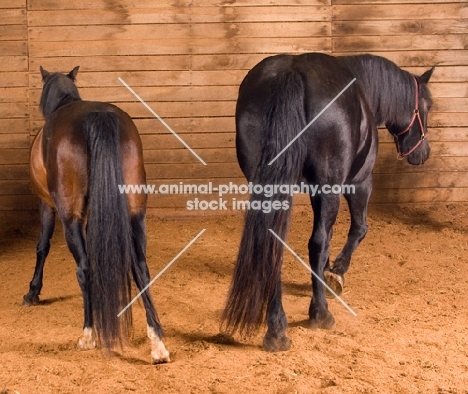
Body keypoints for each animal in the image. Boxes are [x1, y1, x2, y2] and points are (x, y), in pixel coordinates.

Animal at [23, 67, 170, 364]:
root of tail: (98, 117)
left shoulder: (47, 205)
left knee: (85, 268)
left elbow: (42, 246)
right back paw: (157, 343)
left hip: (70, 218)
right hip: (135, 214)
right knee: (141, 268)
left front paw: (33, 291)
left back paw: (88, 334)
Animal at [221, 52, 434, 350]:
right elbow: (357, 229)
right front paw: (336, 274)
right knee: (317, 242)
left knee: (274, 243)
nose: (422, 153)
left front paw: (324, 273)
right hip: (331, 185)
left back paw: (276, 328)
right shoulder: (357, 183)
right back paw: (320, 313)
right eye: (426, 106)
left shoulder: (314, 191)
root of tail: (291, 73)